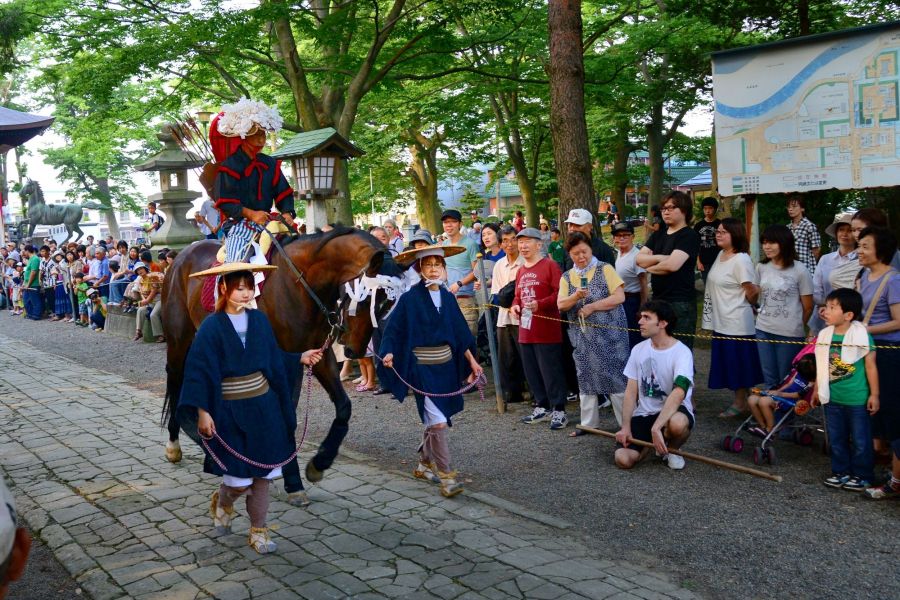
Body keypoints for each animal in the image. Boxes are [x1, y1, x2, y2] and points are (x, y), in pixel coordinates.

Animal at [161, 225, 398, 488]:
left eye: (387, 304)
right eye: (366, 298)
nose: (354, 350)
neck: (301, 285)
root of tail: (181, 256)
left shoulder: (317, 353)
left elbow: (343, 406)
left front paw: (319, 462)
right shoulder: (283, 359)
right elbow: (287, 416)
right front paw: (289, 476)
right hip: (179, 339)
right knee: (175, 380)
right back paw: (175, 445)